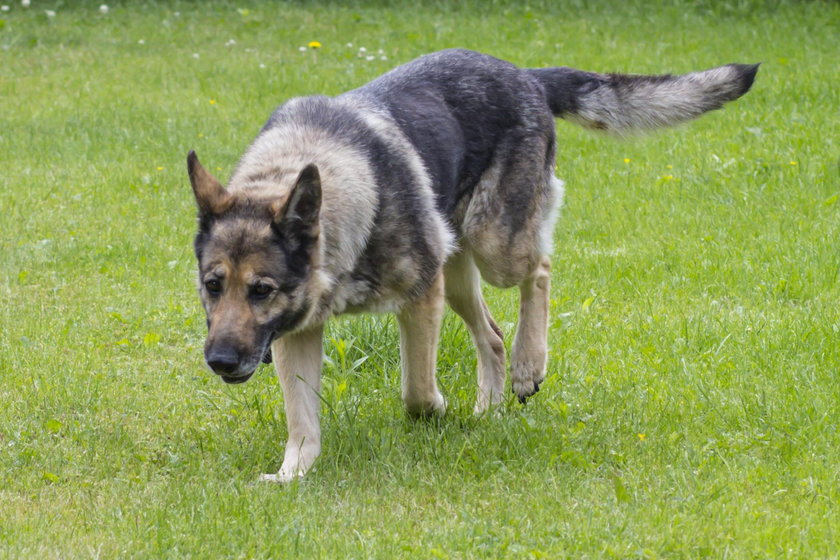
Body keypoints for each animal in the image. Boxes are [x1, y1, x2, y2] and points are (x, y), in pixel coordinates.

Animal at [187, 48, 756, 482]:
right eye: (213, 286)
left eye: (261, 289)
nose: (220, 362)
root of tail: (525, 74)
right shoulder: (298, 330)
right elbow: (302, 420)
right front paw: (292, 476)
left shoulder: (420, 297)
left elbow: (416, 391)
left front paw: (437, 412)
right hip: (458, 274)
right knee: (494, 334)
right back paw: (489, 408)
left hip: (493, 248)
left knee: (540, 269)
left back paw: (529, 365)